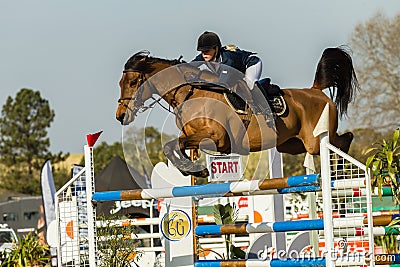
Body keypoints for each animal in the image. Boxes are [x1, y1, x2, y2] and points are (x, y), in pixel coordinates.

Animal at [116, 47, 360, 178]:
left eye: (134, 82)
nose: (120, 116)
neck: (192, 93)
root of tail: (316, 91)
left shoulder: (217, 138)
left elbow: (173, 144)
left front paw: (194, 170)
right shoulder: (192, 135)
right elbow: (173, 146)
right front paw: (194, 170)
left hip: (314, 140)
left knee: (343, 139)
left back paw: (339, 172)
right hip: (291, 144)